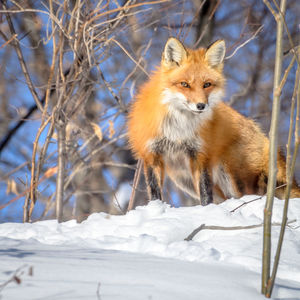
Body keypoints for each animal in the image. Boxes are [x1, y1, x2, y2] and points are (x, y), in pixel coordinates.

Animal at [127, 37, 300, 205]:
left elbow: (205, 193)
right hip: (185, 180)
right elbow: (155, 192)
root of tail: (261, 133)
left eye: (207, 84)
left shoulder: (201, 154)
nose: (201, 105)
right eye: (184, 84)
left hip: (233, 177)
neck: (179, 128)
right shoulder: (151, 154)